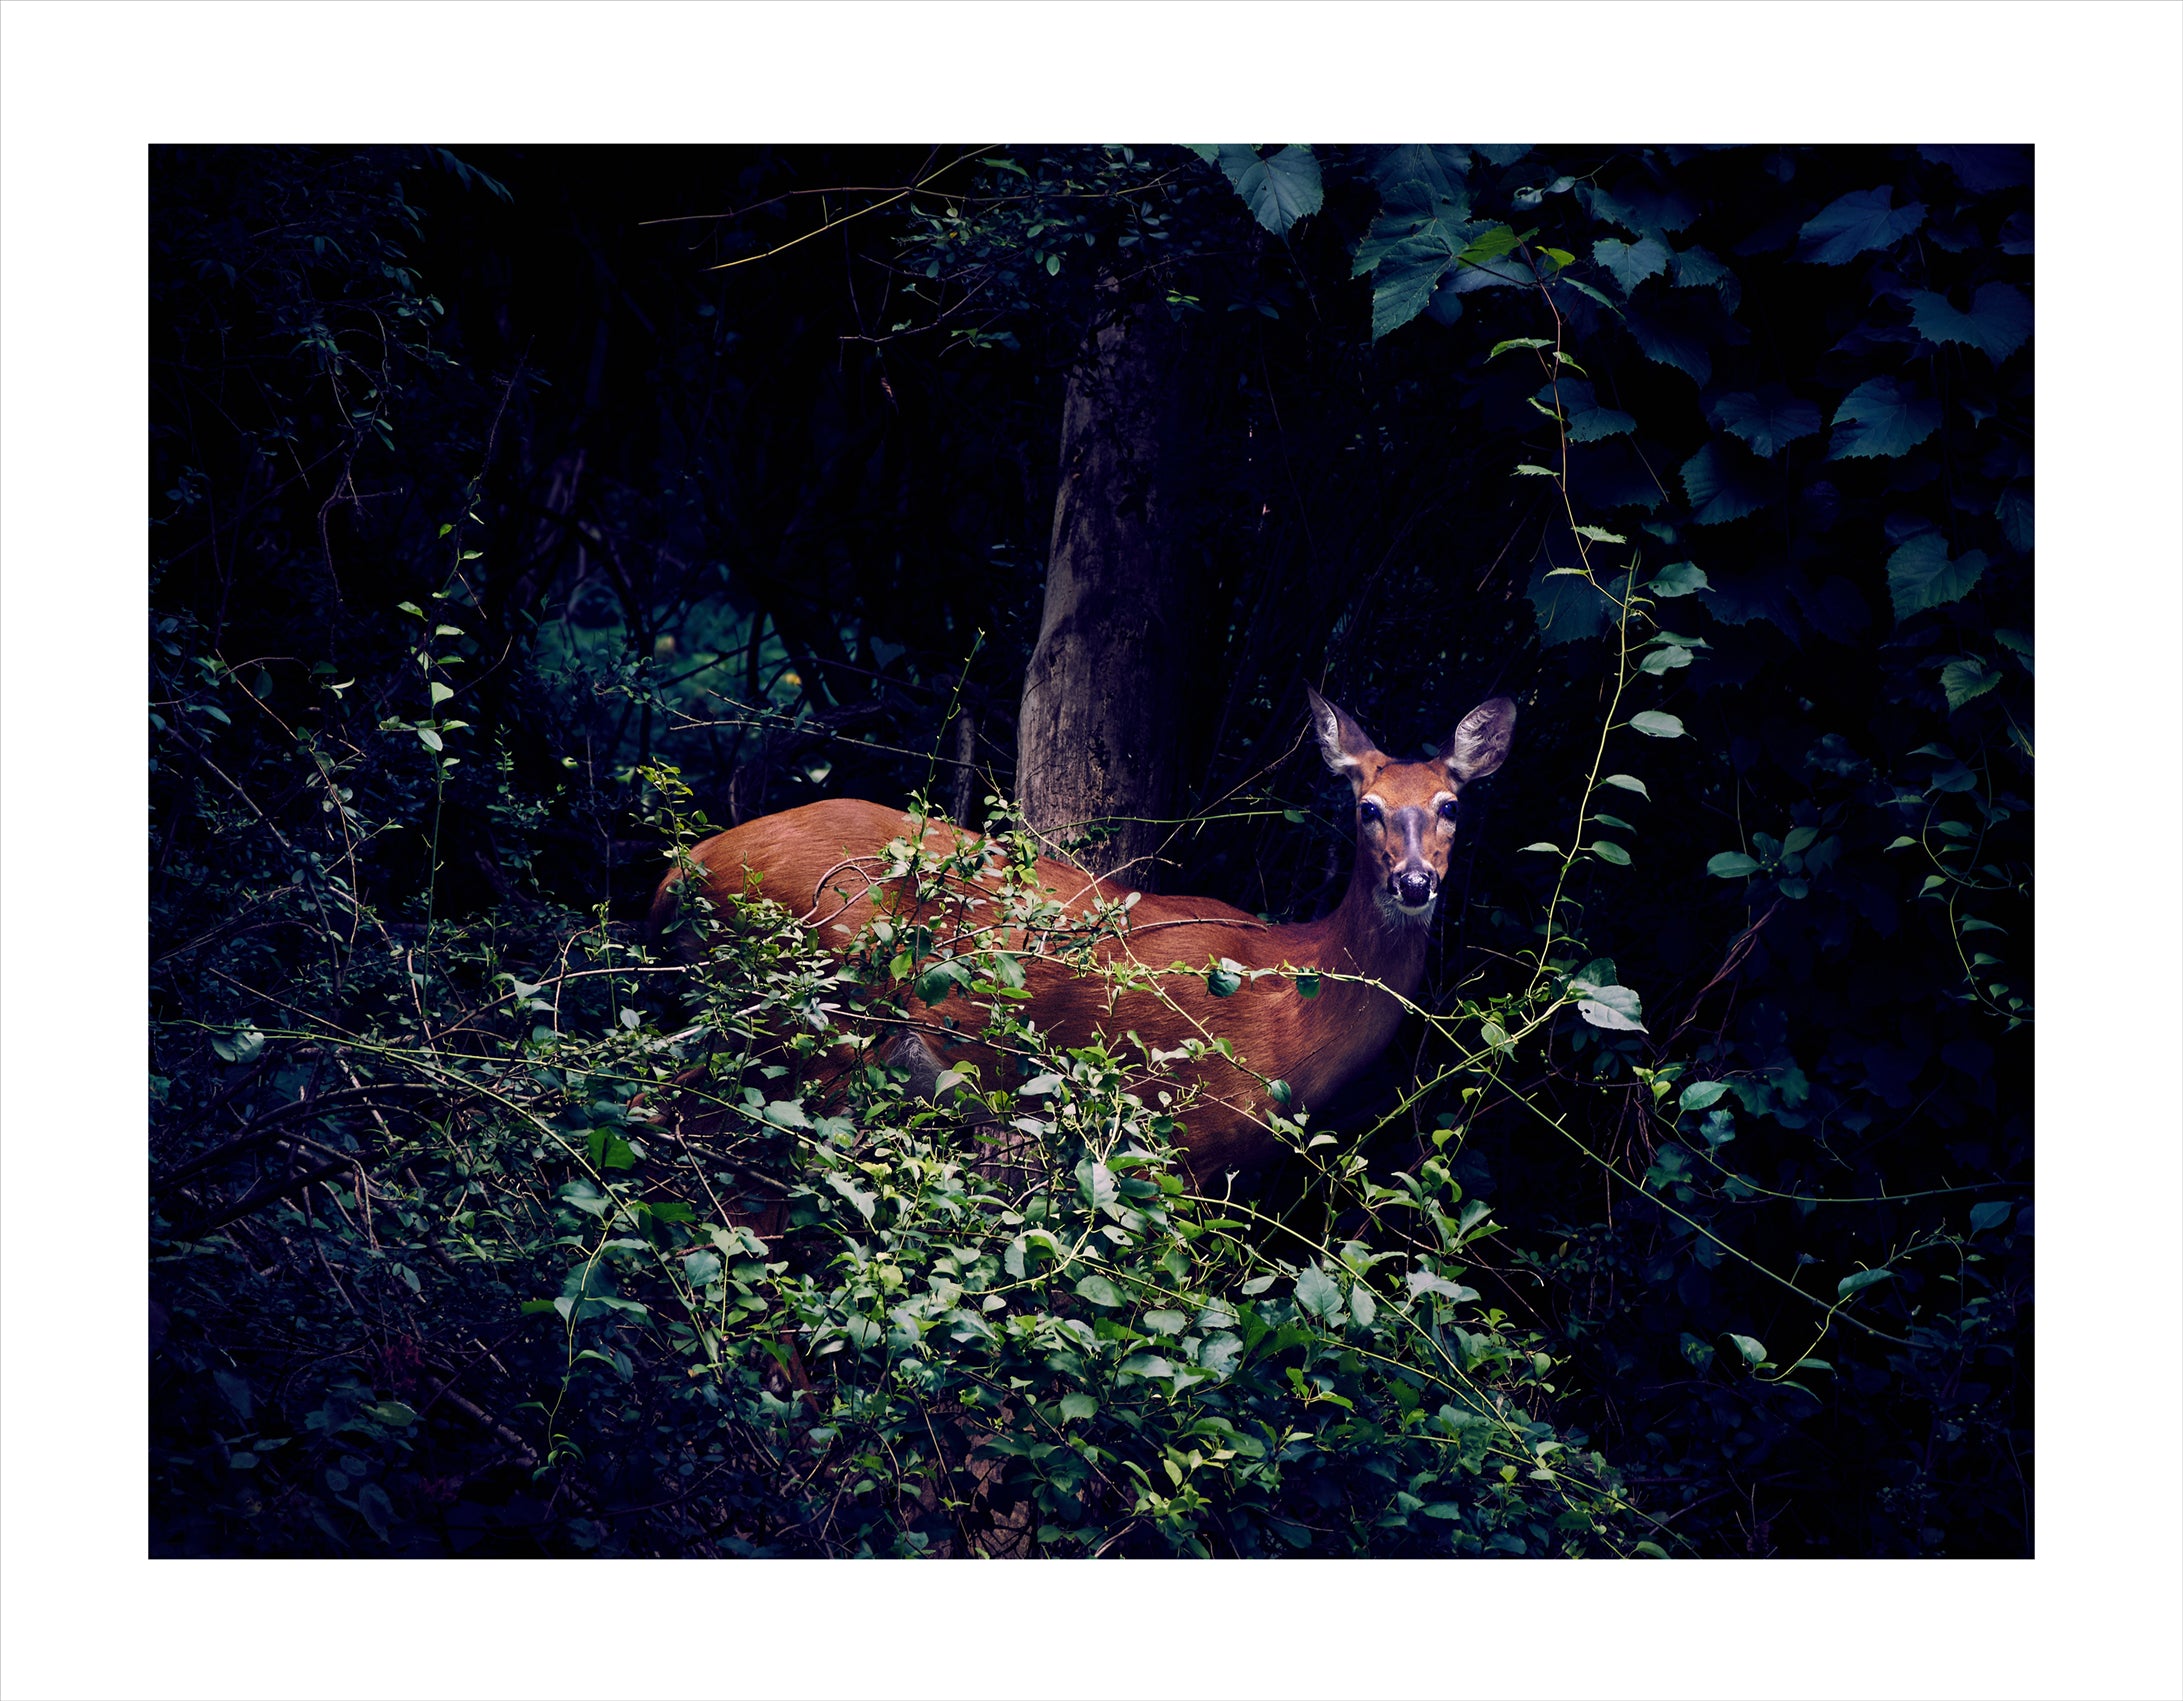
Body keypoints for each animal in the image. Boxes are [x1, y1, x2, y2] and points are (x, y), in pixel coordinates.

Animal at [648, 688, 1517, 1188]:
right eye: (1368, 807)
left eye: (1449, 804)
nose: (1415, 881)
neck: (1292, 992)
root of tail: (683, 868)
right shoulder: (1181, 1128)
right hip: (814, 1015)